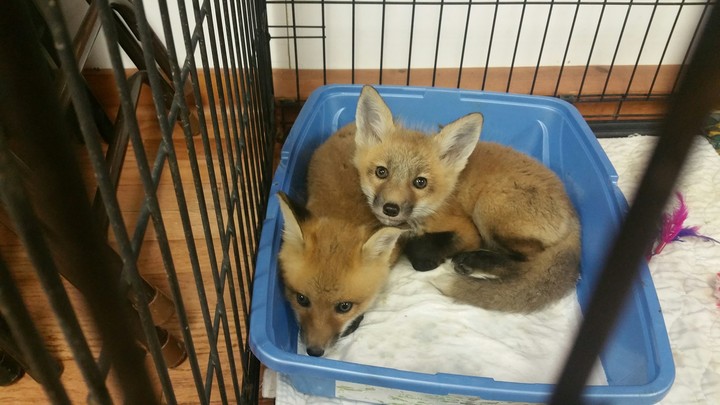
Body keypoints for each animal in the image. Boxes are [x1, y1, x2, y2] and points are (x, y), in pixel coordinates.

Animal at [352, 85, 581, 312]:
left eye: (420, 182)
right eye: (382, 172)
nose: (391, 209)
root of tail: (574, 216)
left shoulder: (468, 232)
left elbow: (430, 249)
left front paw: (428, 256)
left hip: (487, 208)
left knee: (524, 265)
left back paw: (473, 260)